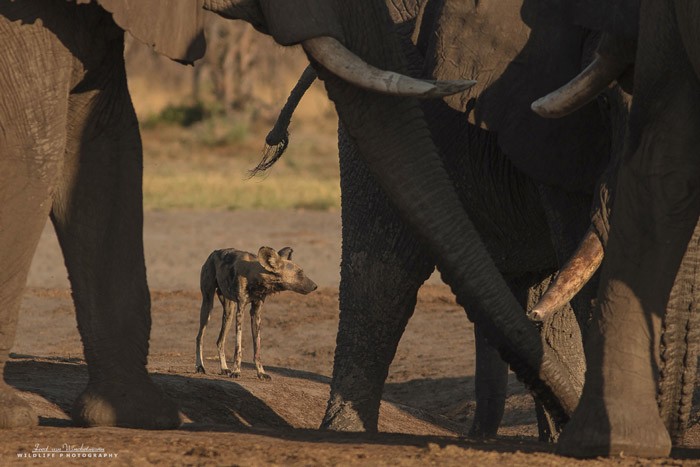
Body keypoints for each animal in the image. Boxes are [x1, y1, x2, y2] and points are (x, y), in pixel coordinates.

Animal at [196, 247, 318, 378]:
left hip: (229, 313)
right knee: (199, 337)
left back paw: (224, 368)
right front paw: (236, 371)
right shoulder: (241, 311)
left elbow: (257, 349)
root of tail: (214, 252)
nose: (315, 286)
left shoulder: (256, 313)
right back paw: (200, 366)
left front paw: (261, 372)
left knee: (220, 341)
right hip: (208, 305)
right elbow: (238, 348)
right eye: (299, 273)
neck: (256, 276)